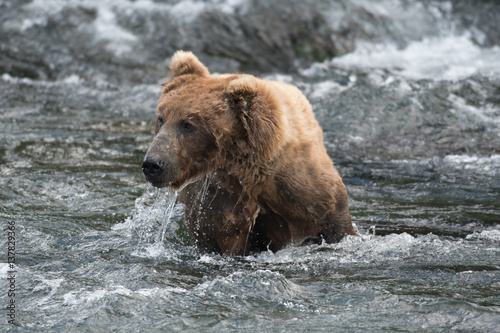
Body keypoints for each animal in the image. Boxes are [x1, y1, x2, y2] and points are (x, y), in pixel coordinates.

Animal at [142, 50, 356, 254]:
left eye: (188, 124)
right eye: (161, 118)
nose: (153, 164)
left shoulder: (303, 190)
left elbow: (332, 223)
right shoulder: (218, 201)